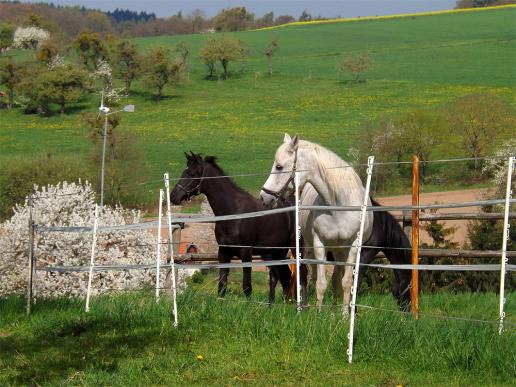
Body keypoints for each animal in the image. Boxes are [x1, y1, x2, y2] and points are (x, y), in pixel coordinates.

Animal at [260, 135, 372, 314]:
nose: (264, 197)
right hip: (308, 247)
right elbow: (320, 283)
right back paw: (306, 307)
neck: (338, 206)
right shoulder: (319, 245)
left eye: (279, 166)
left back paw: (334, 310)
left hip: (339, 250)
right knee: (306, 275)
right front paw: (319, 313)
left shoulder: (353, 246)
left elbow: (346, 282)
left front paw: (344, 314)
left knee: (336, 279)